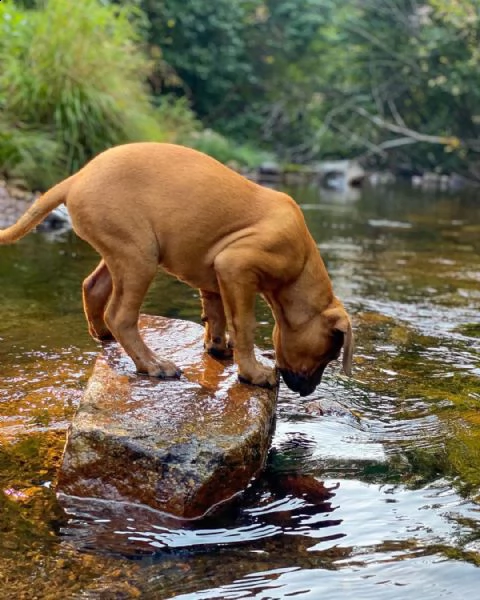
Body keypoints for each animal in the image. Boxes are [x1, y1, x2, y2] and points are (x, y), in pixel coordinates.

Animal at [0, 143, 352, 396]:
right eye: (329, 355)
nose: (307, 392)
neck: (300, 265)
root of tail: (77, 177)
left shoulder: (216, 274)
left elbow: (216, 316)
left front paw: (217, 347)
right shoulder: (235, 267)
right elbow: (244, 326)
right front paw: (253, 373)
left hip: (122, 251)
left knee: (93, 287)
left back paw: (102, 334)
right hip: (140, 256)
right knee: (121, 316)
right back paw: (152, 364)